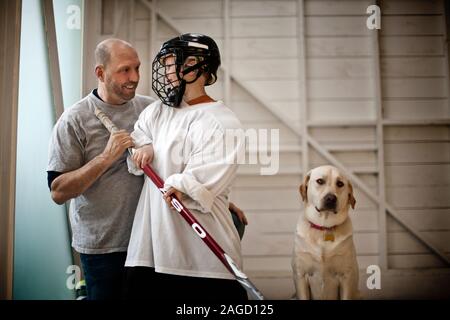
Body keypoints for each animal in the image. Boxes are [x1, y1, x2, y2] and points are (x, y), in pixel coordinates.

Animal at [292, 166, 358, 298]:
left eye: (340, 184)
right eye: (320, 181)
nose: (331, 198)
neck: (324, 227)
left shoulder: (346, 277)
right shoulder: (300, 275)